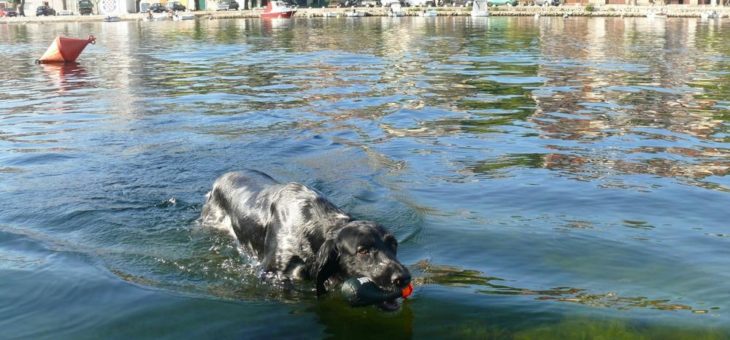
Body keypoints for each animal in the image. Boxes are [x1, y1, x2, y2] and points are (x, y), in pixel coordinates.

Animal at [199, 169, 410, 308]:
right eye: (363, 250)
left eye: (394, 244)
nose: (404, 278)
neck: (311, 223)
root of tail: (220, 178)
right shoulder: (268, 272)